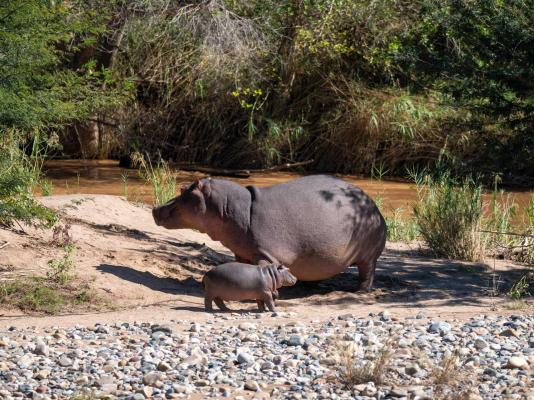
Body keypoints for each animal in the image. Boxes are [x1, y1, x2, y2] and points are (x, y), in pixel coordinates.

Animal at [153, 175, 388, 290]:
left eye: (184, 190)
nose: (155, 208)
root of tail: (373, 204)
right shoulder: (242, 253)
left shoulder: (267, 254)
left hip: (368, 256)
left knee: (367, 273)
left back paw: (360, 291)